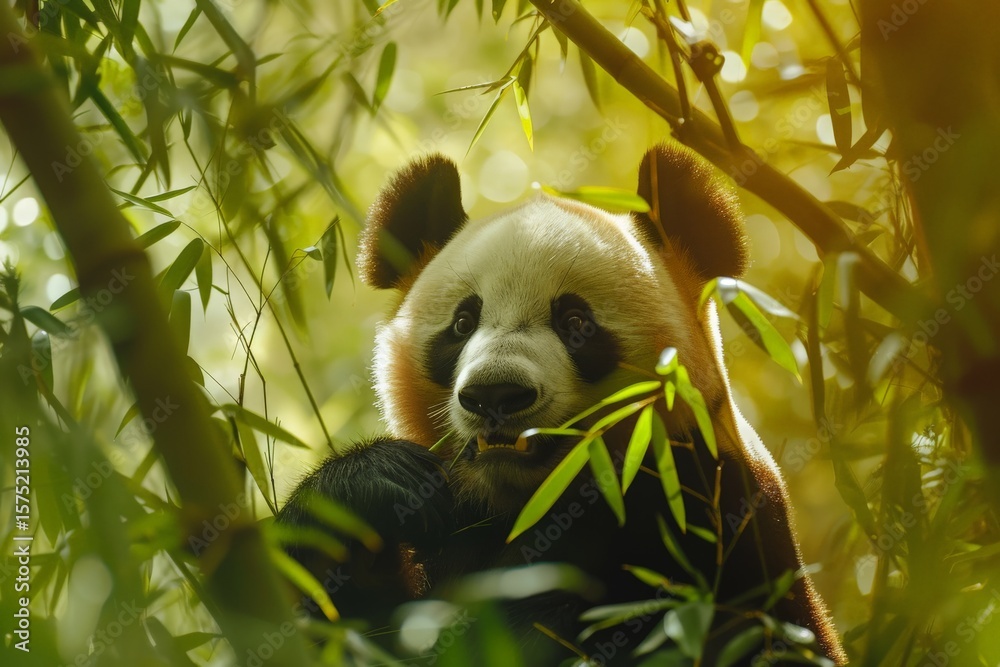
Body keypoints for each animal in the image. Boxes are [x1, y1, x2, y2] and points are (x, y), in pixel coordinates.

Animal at [277, 145, 846, 665]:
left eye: (576, 322)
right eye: (462, 323)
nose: (495, 395)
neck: (534, 502)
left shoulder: (714, 519)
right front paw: (379, 488)